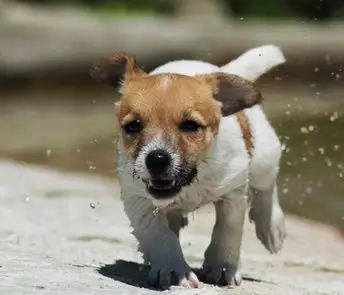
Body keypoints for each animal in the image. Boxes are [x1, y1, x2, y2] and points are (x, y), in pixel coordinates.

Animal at [90, 45, 286, 292]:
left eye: (190, 126)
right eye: (132, 126)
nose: (157, 159)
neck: (193, 180)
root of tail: (222, 69)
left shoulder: (233, 192)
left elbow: (228, 229)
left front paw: (222, 266)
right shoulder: (138, 200)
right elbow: (159, 235)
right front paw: (173, 268)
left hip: (264, 158)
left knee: (266, 189)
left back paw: (271, 226)